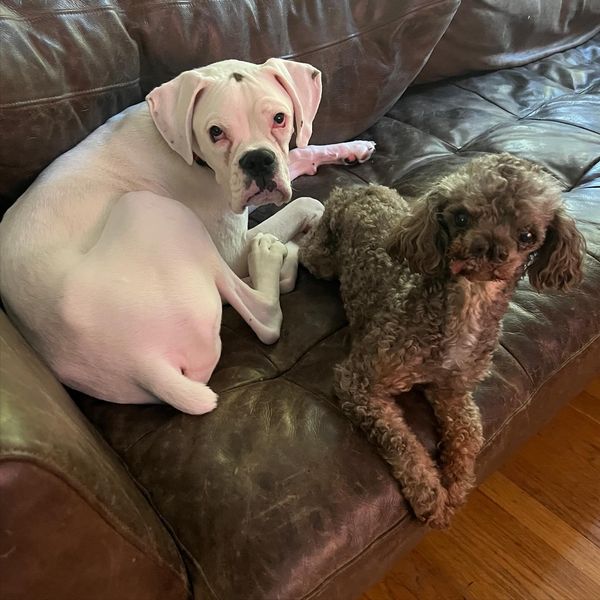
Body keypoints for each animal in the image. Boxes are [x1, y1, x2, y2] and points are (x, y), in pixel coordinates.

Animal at [0, 58, 375, 414]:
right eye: (216, 132)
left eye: (279, 118)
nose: (257, 161)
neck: (182, 146)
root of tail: (147, 365)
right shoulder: (232, 247)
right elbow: (307, 202)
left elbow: (300, 153)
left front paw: (352, 147)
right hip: (158, 209)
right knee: (264, 314)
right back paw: (272, 255)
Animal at [299, 153, 585, 527]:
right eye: (461, 217)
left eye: (527, 235)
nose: (489, 249)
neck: (467, 305)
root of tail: (359, 188)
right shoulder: (358, 382)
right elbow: (402, 442)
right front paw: (429, 492)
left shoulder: (453, 390)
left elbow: (470, 435)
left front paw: (458, 483)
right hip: (320, 259)